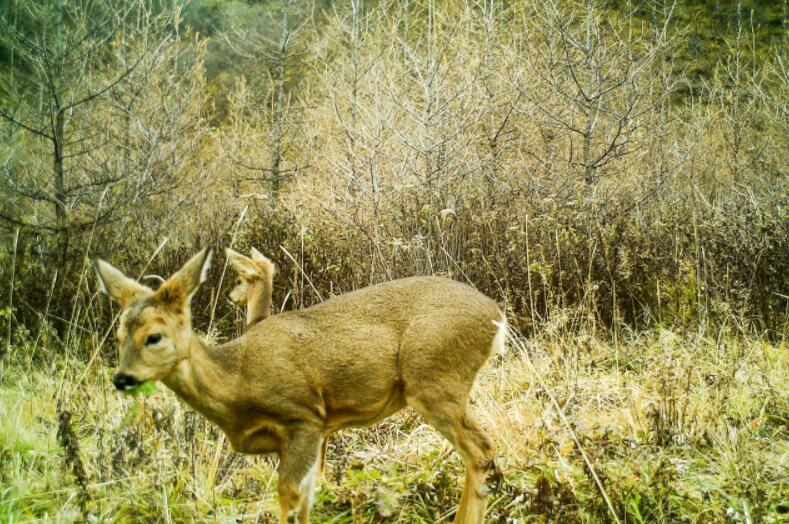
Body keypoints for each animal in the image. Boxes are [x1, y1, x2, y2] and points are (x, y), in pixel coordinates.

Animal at [95, 248, 508, 520]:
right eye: (118, 335)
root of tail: (496, 317)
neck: (237, 379)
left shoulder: (304, 418)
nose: (122, 379)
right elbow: (306, 497)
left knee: (481, 448)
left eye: (154, 336)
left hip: (434, 380)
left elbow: (290, 497)